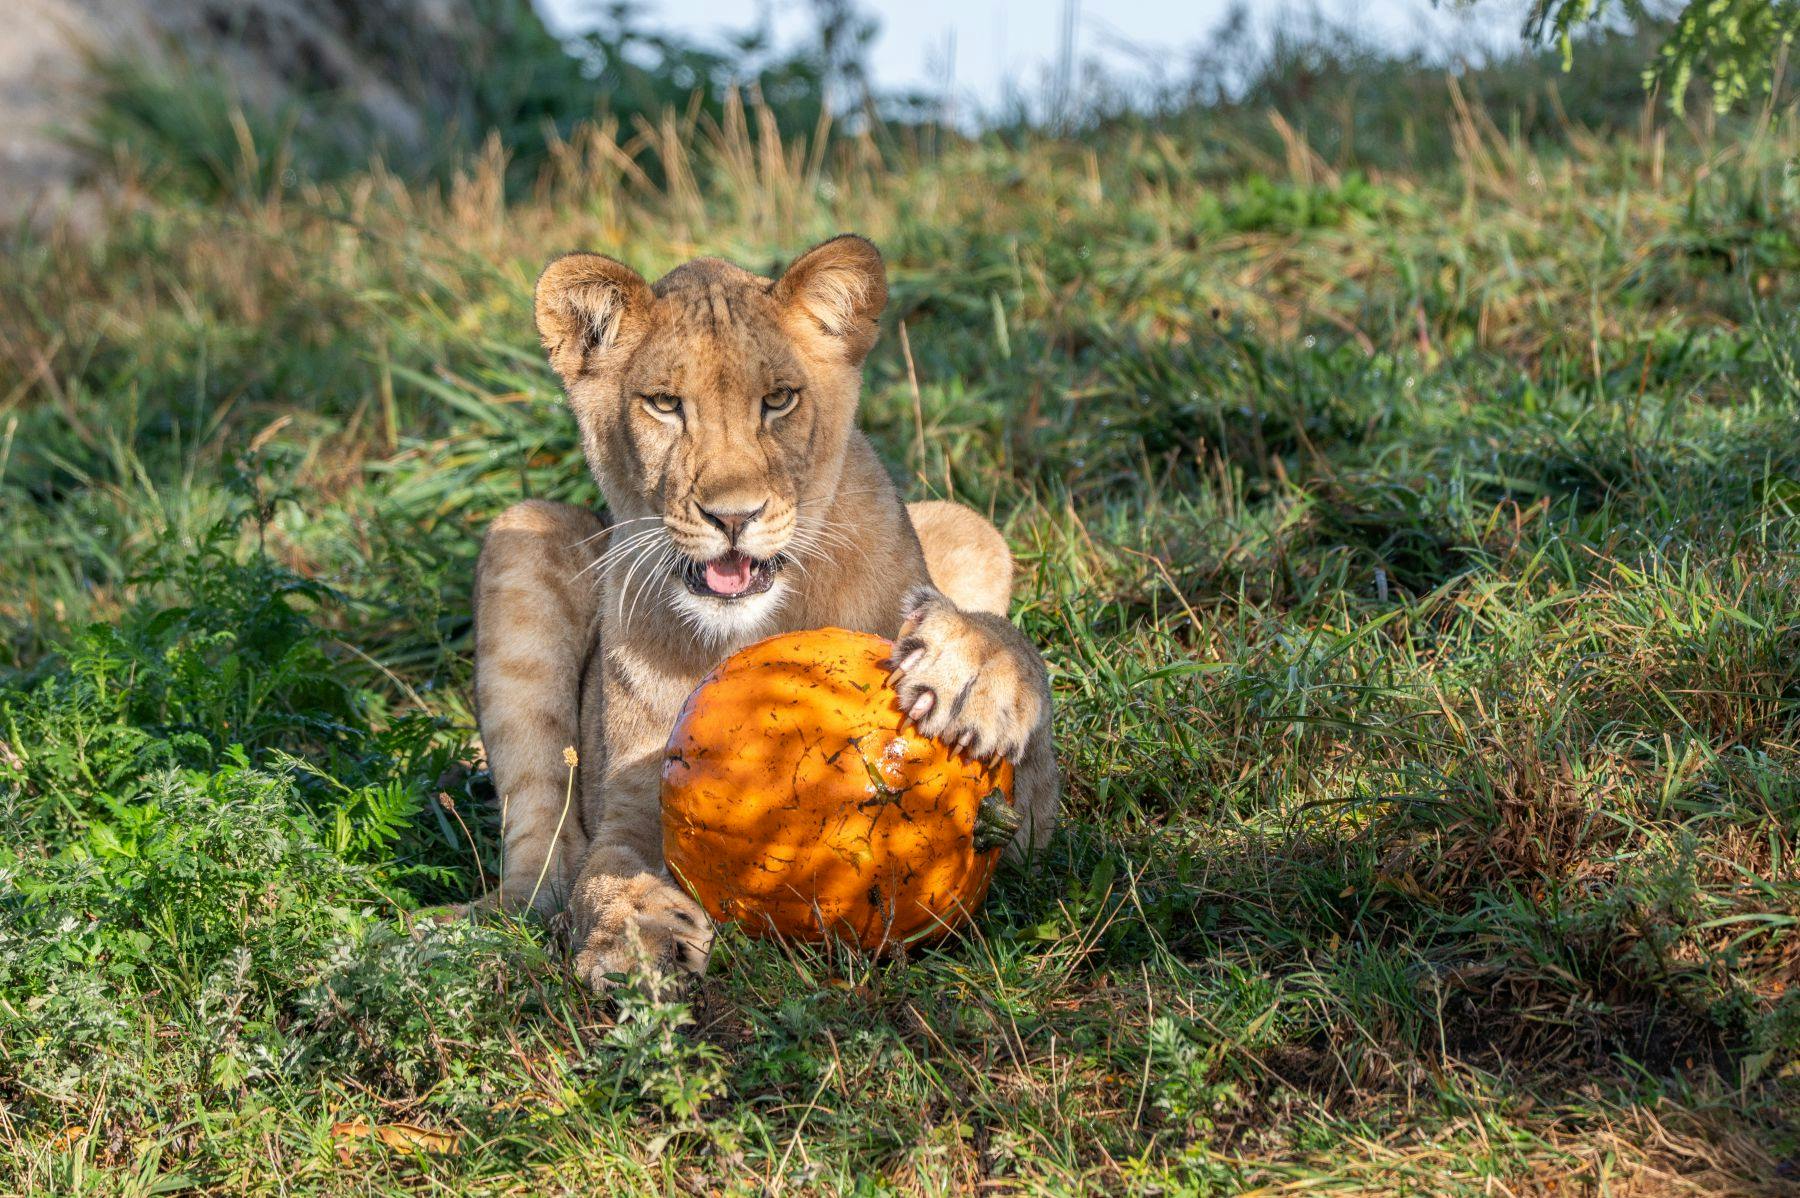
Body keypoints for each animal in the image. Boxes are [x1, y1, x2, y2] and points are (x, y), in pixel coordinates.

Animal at [471, 234, 1059, 987]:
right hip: (526, 524)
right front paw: (634, 936)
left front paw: (974, 673)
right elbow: (607, 867)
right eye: (665, 404)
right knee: (542, 871)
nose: (732, 517)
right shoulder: (632, 795)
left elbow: (1016, 687)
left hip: (967, 525)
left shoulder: (1033, 836)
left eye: (778, 401)